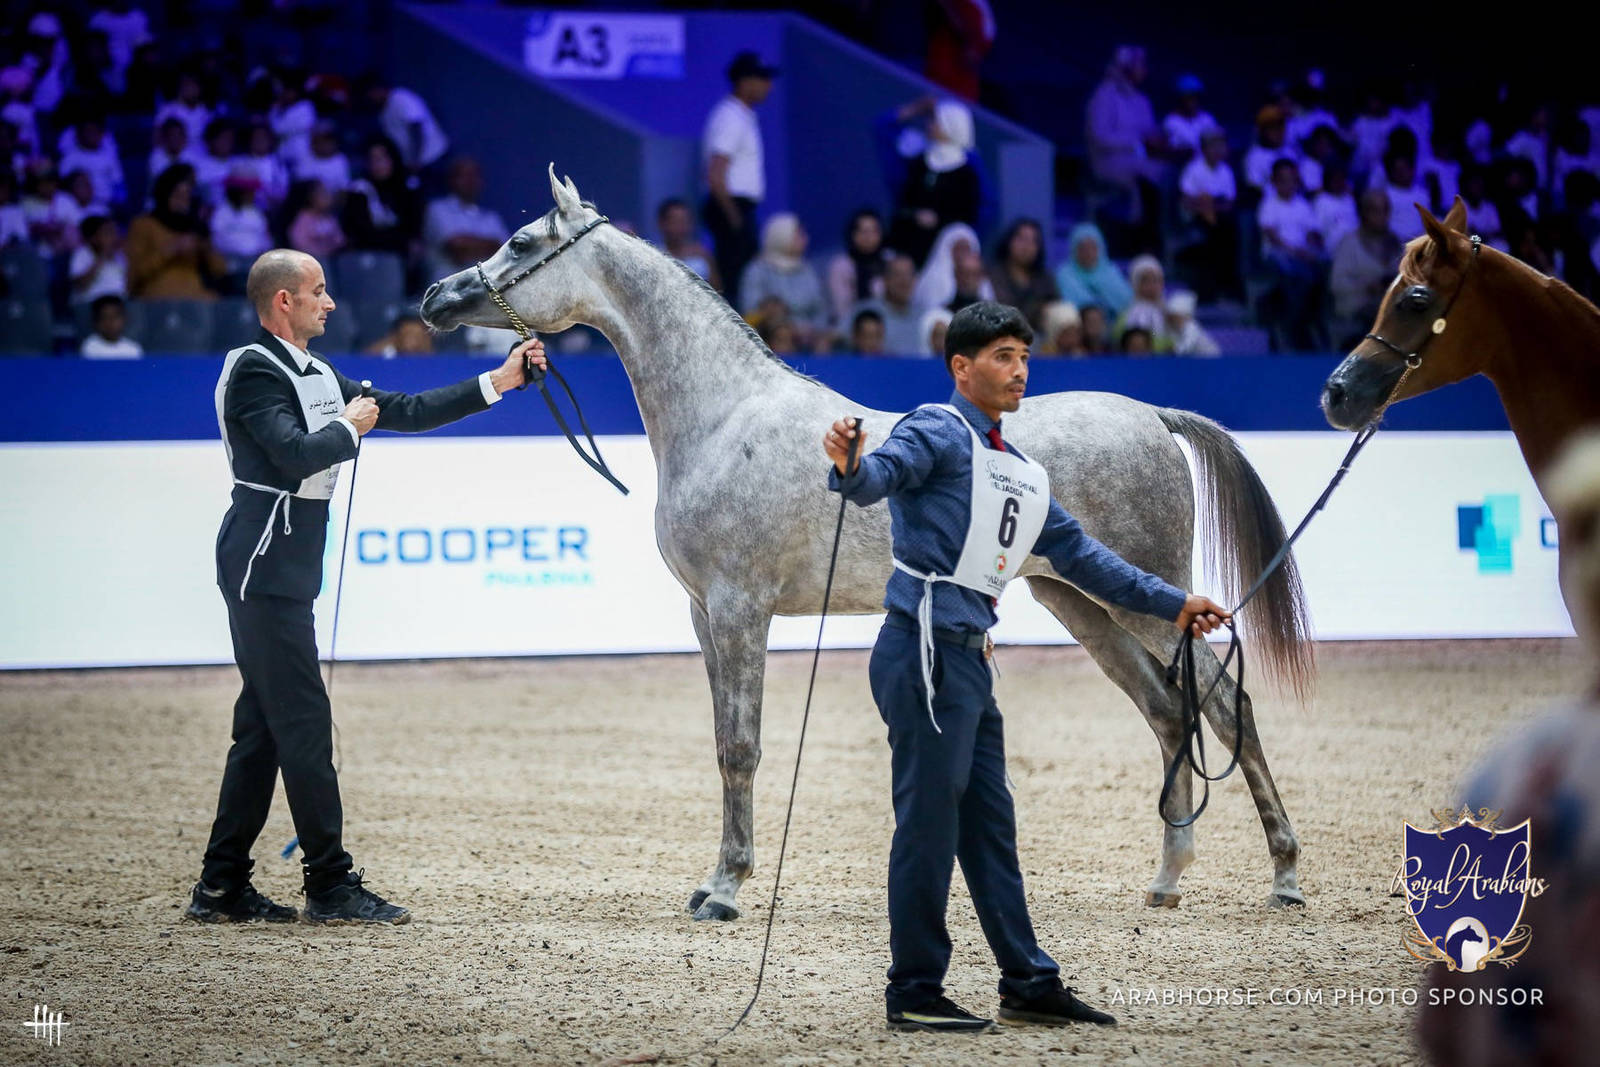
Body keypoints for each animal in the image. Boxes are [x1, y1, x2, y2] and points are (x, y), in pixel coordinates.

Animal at [420, 166, 1314, 921]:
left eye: (522, 243)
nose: (435, 295)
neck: (726, 415)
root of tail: (1152, 416)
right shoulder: (704, 614)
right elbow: (721, 743)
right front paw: (714, 878)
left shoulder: (741, 609)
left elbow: (741, 746)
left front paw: (726, 887)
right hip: (1086, 602)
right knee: (1169, 715)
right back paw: (1167, 877)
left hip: (1152, 604)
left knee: (1226, 709)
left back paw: (1284, 875)